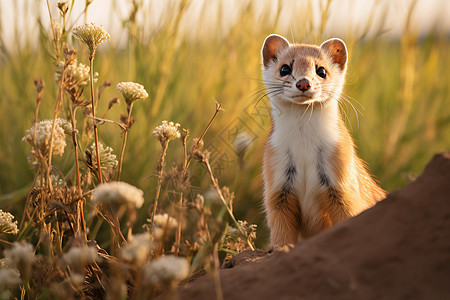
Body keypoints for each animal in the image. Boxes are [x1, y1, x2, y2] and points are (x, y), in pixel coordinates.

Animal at [260, 35, 386, 246]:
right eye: (285, 69)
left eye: (321, 71)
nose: (303, 83)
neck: (304, 147)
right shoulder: (276, 183)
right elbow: (281, 234)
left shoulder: (343, 182)